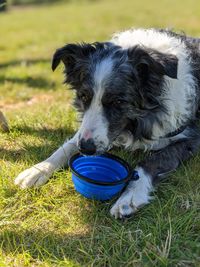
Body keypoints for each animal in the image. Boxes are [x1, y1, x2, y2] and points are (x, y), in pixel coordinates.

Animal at [14, 28, 200, 219]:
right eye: (83, 96)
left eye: (118, 102)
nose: (86, 149)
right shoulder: (85, 133)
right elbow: (68, 146)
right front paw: (38, 169)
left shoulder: (191, 138)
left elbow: (152, 161)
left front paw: (129, 196)